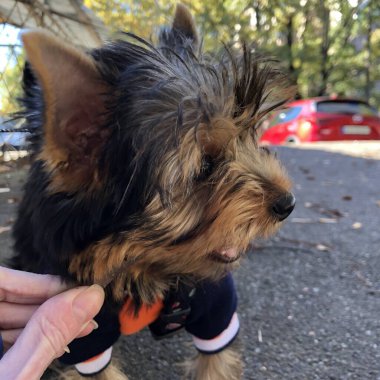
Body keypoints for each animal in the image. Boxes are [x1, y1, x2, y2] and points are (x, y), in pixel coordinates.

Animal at [11, 3, 296, 380]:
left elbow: (216, 354)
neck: (140, 264)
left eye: (250, 135)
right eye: (205, 166)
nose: (287, 202)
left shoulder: (211, 297)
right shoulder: (83, 321)